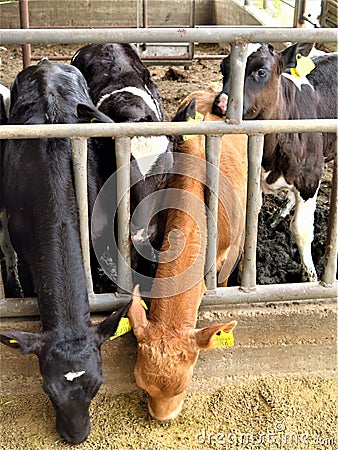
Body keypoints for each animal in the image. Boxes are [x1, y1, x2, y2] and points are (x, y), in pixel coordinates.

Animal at [213, 43, 336, 282]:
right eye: (223, 68)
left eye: (261, 71)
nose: (221, 104)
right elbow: (251, 219)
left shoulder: (309, 179)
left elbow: (301, 229)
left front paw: (310, 277)